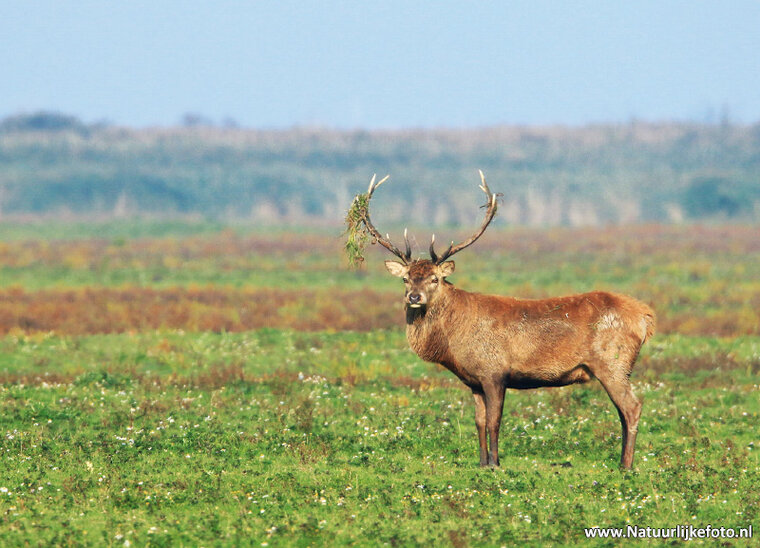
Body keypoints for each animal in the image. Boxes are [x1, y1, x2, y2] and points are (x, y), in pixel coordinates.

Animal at [355, 171, 656, 469]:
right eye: (406, 278)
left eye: (434, 278)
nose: (414, 297)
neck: (454, 342)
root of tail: (645, 316)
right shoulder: (474, 381)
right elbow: (478, 422)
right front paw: (481, 462)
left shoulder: (495, 372)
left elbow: (494, 421)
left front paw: (495, 463)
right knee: (624, 411)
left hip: (613, 363)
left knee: (632, 407)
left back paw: (626, 466)